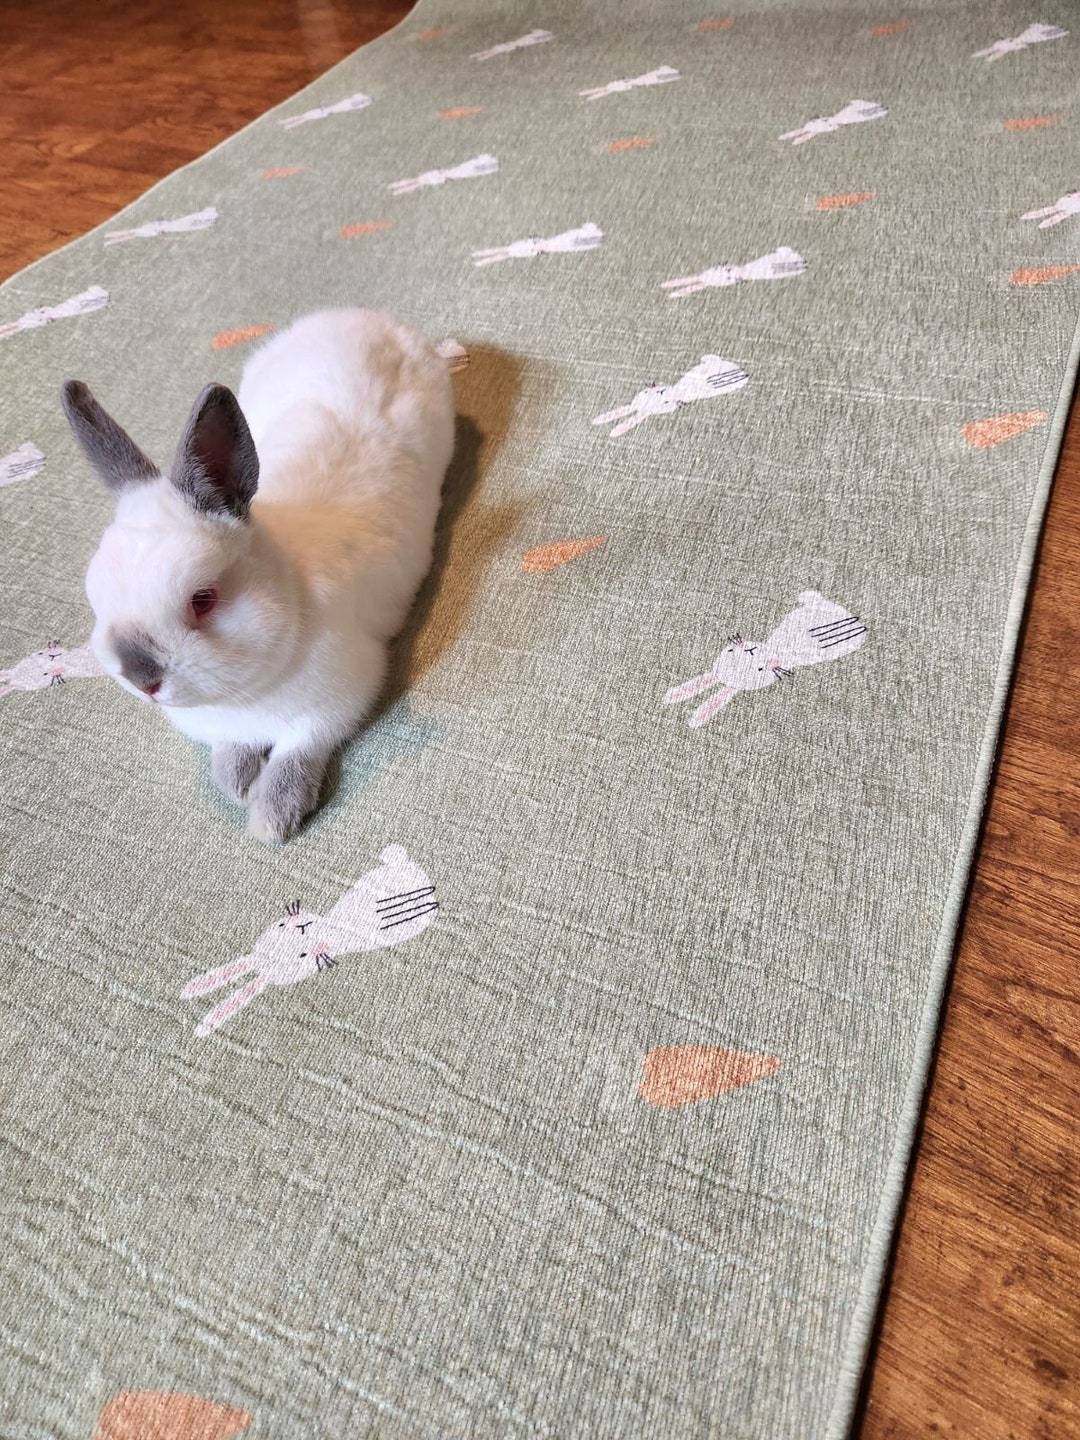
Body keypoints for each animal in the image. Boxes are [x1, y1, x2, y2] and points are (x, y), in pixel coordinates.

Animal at [61, 308, 456, 841]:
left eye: (203, 599)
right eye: (96, 599)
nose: (143, 680)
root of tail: (366, 317)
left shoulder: (334, 705)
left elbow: (297, 754)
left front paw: (272, 816)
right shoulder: (227, 727)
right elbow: (232, 748)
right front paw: (235, 782)